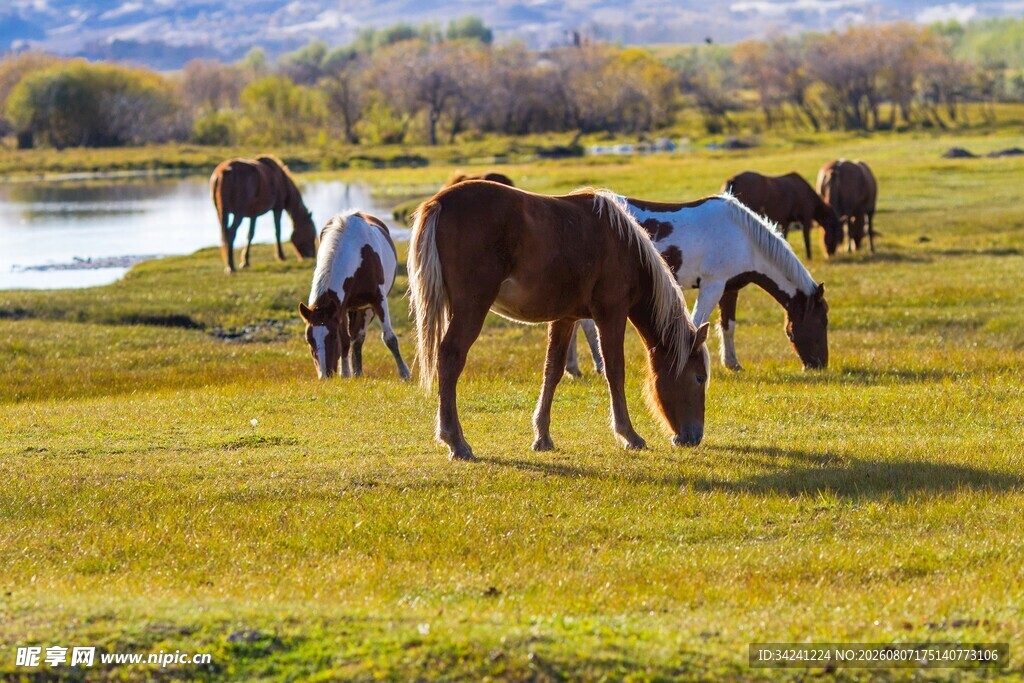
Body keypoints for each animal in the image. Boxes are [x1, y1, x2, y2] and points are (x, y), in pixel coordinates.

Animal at [298, 211, 410, 380]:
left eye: (333, 336)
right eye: (309, 339)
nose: (325, 375)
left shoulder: (378, 299)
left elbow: (389, 338)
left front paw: (404, 374)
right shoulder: (341, 308)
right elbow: (345, 341)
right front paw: (345, 373)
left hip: (366, 309)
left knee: (358, 338)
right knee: (354, 339)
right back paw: (355, 372)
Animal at [408, 181, 710, 461]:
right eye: (699, 377)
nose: (693, 437)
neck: (622, 245)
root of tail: (440, 201)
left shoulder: (566, 318)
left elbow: (552, 371)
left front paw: (542, 437)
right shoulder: (610, 313)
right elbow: (615, 370)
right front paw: (629, 435)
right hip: (472, 307)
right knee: (451, 357)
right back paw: (456, 441)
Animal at [566, 193, 828, 375]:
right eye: (821, 322)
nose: (820, 364)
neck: (742, 235)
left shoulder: (729, 289)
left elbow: (728, 326)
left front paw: (732, 364)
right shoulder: (712, 286)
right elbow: (697, 322)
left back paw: (574, 367)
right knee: (586, 326)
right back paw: (593, 366)